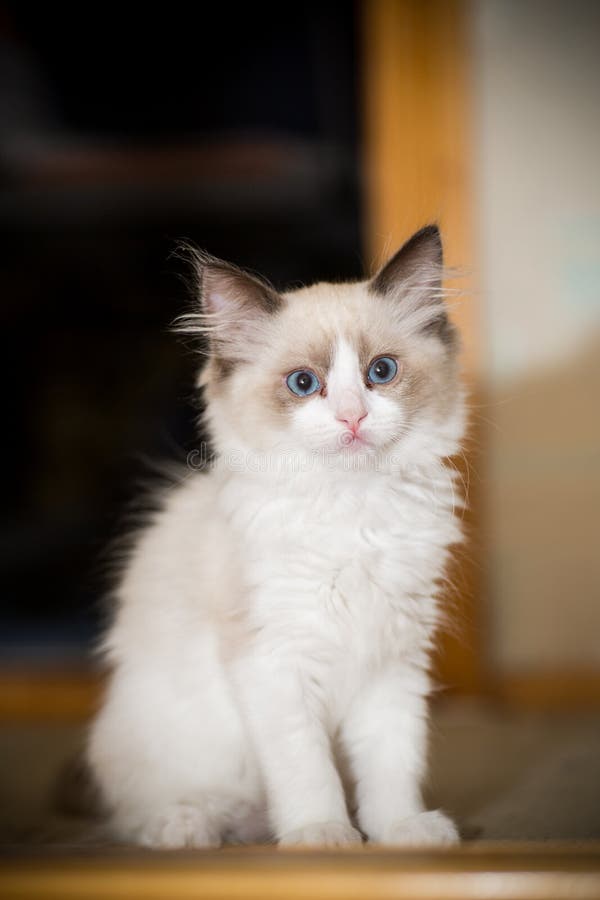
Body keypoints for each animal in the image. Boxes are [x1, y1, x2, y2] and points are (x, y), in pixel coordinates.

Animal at [86, 227, 466, 852]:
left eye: (381, 372)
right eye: (304, 384)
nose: (352, 418)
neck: (352, 510)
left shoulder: (392, 661)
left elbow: (391, 762)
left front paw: (399, 831)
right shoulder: (274, 663)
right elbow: (306, 768)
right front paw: (323, 835)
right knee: (146, 810)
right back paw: (191, 827)